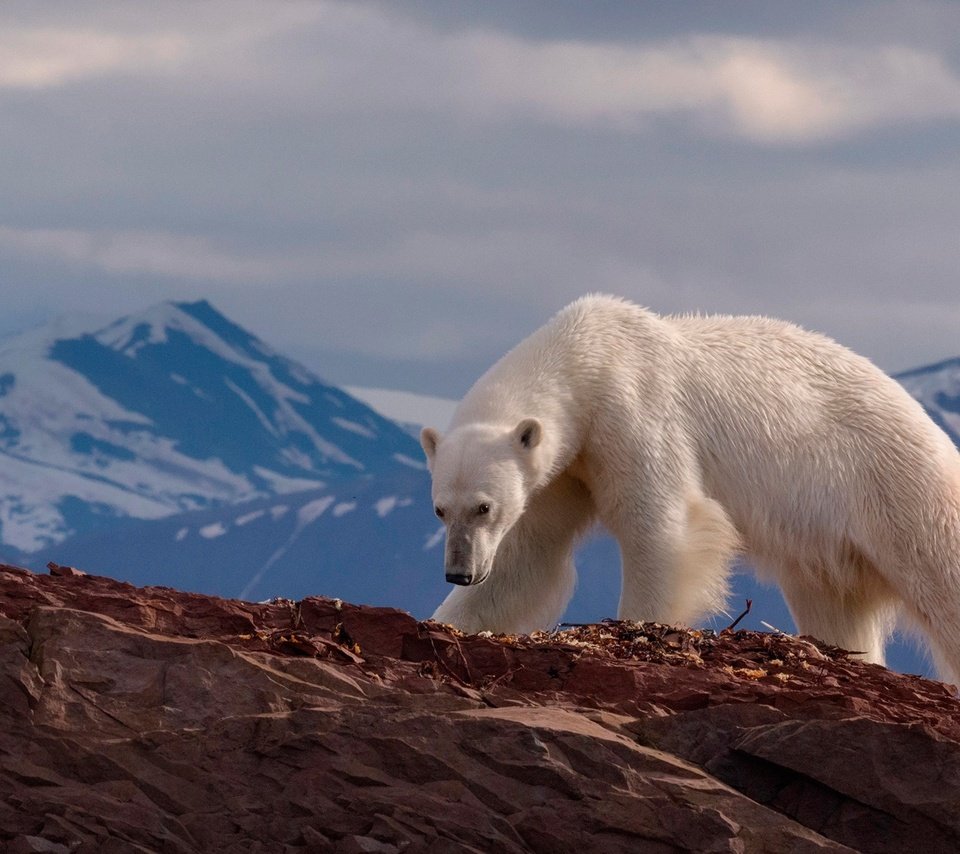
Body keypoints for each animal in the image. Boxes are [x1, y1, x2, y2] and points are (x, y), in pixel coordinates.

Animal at [424, 294, 960, 684]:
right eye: (441, 510)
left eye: (484, 507)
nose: (458, 572)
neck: (587, 356)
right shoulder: (565, 470)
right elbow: (527, 557)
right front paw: (448, 623)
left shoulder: (634, 411)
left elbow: (663, 528)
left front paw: (637, 630)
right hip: (829, 543)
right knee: (832, 603)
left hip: (894, 485)